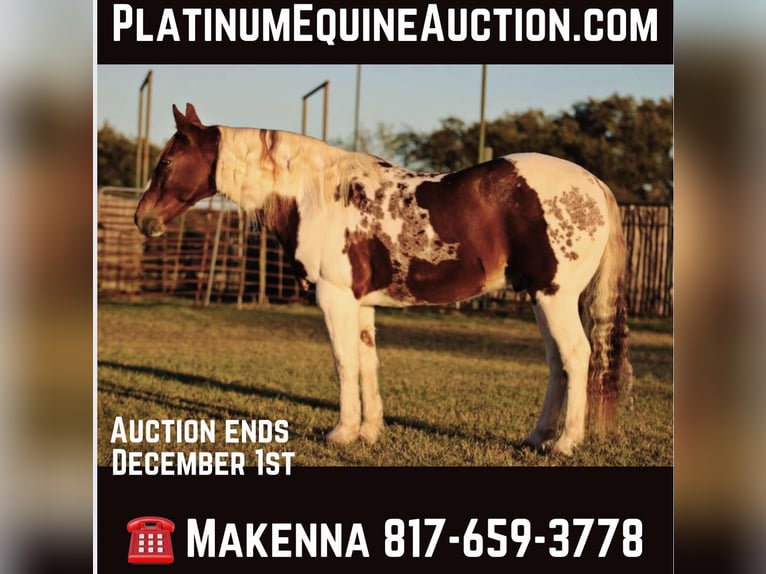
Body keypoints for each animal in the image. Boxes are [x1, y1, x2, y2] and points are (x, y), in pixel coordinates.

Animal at [135, 103, 630, 456]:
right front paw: (370, 432)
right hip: (540, 297)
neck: (316, 195)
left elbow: (344, 362)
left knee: (576, 356)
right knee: (556, 363)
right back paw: (537, 438)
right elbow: (367, 362)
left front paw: (341, 432)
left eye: (167, 161)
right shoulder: (362, 303)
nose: (143, 219)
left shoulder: (334, 297)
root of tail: (595, 184)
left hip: (555, 297)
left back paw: (565, 443)